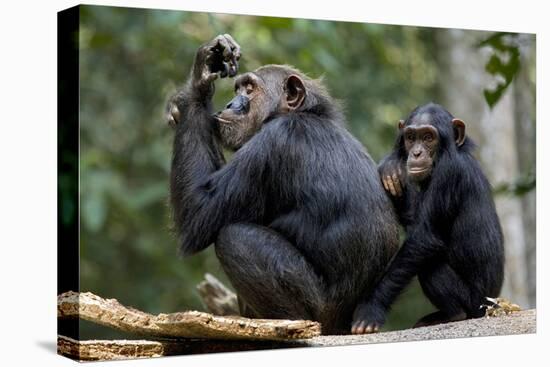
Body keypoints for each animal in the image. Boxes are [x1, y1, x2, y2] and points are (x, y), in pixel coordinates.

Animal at [167, 35, 402, 336]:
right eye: (238, 88)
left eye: (250, 89)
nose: (231, 103)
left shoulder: (272, 145)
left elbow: (198, 214)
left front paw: (199, 81)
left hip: (319, 313)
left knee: (236, 237)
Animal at [354, 103, 504, 336]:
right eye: (410, 137)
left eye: (428, 137)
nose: (416, 152)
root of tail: (493, 306)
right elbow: (415, 219)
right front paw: (391, 167)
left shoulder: (448, 174)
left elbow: (425, 236)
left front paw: (371, 308)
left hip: (474, 303)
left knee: (430, 264)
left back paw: (453, 315)